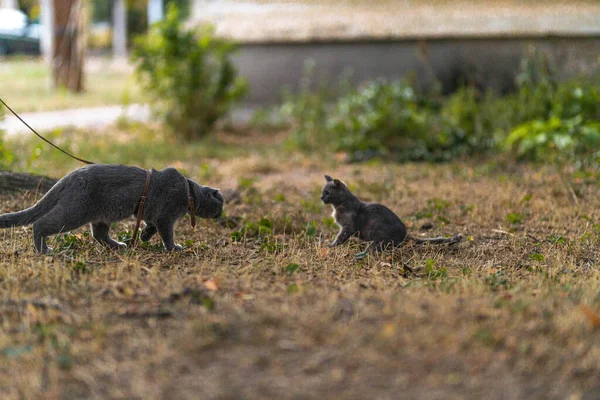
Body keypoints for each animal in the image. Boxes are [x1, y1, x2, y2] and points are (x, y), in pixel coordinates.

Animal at [0, 163, 223, 253]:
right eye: (220, 204)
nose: (221, 214)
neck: (189, 193)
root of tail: (69, 176)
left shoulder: (152, 214)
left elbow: (150, 226)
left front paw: (144, 236)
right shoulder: (166, 216)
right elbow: (167, 234)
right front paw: (174, 248)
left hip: (101, 216)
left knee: (99, 235)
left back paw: (118, 245)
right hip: (73, 213)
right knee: (39, 224)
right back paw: (44, 250)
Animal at [322, 174, 462, 252]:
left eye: (327, 193)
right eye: (323, 192)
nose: (321, 197)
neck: (338, 206)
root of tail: (405, 234)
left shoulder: (348, 227)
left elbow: (340, 238)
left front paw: (331, 246)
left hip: (377, 230)